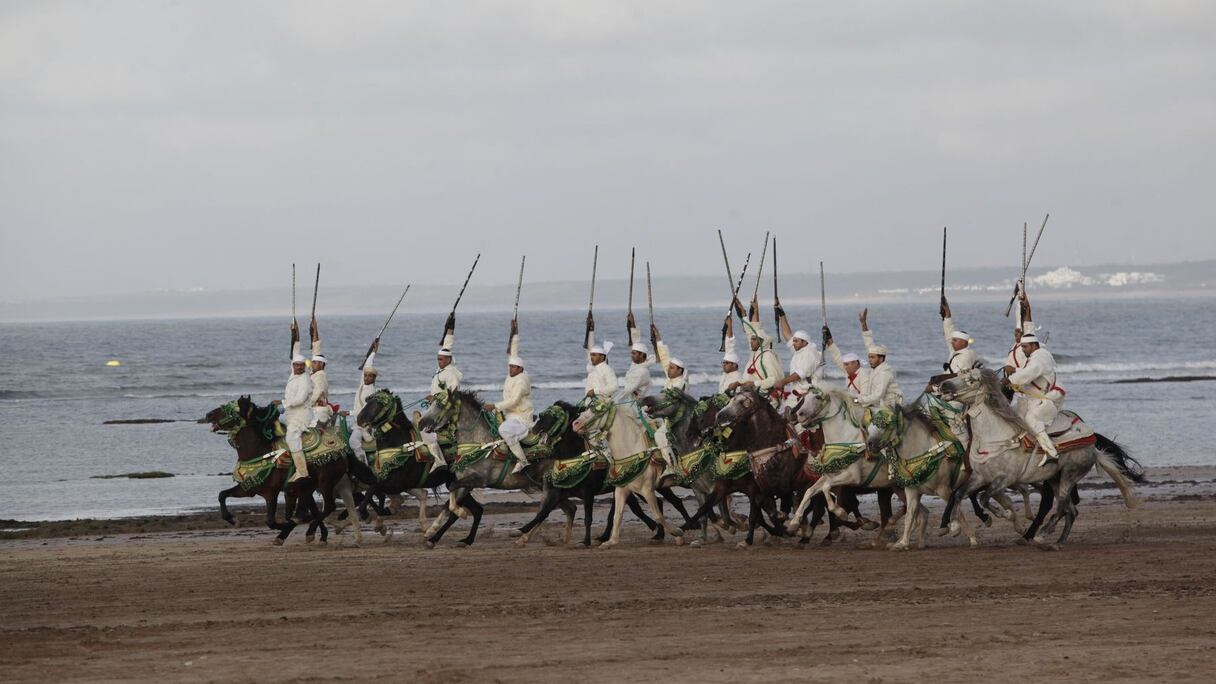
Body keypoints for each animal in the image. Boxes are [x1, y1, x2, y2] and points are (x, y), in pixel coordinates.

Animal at [204, 394, 362, 542]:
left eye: (231, 410)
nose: (208, 414)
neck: (259, 452)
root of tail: (341, 447)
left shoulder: (271, 493)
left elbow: (272, 521)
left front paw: (286, 528)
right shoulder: (249, 488)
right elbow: (222, 495)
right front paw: (233, 519)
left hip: (326, 481)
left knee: (329, 506)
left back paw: (308, 530)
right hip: (309, 486)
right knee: (317, 510)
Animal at [569, 394, 685, 542]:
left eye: (599, 409)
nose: (575, 424)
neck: (633, 449)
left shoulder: (647, 489)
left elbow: (657, 515)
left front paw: (677, 533)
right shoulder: (622, 489)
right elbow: (617, 516)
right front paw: (609, 541)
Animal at [933, 365, 1143, 545]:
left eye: (971, 380)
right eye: (959, 373)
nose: (943, 385)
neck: (995, 436)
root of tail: (1092, 444)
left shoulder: (1005, 479)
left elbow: (984, 497)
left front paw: (1005, 515)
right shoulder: (980, 477)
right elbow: (959, 494)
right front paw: (954, 525)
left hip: (1069, 475)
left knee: (1061, 506)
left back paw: (1041, 534)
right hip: (1055, 479)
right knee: (1071, 511)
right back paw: (1057, 542)